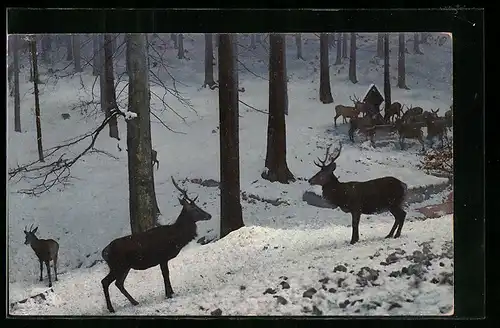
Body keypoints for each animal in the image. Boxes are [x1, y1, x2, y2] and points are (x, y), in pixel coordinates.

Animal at [100, 177, 212, 312]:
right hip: (117, 265)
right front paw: (169, 294)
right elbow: (165, 274)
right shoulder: (163, 257)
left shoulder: (163, 259)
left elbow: (166, 274)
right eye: (195, 209)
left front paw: (171, 292)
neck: (176, 238)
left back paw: (134, 302)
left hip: (124, 267)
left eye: (198, 206)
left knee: (118, 283)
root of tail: (104, 252)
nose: (209, 215)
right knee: (105, 282)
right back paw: (111, 308)